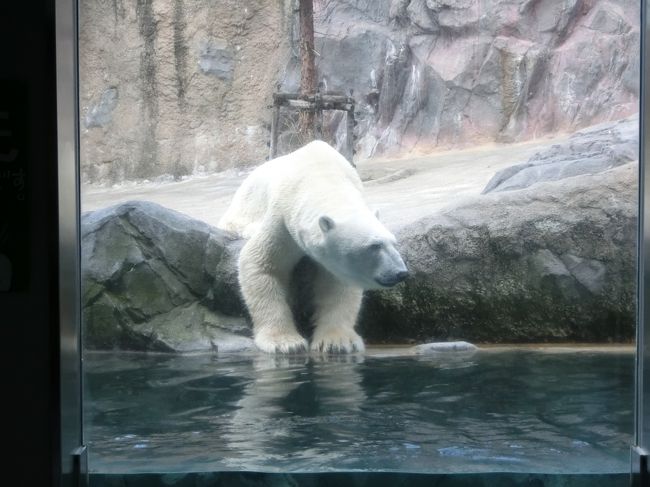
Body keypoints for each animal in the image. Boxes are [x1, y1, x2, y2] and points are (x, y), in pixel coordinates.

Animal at [220, 141, 408, 354]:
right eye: (374, 245)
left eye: (393, 242)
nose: (400, 272)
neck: (321, 176)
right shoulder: (283, 217)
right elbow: (261, 264)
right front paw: (285, 342)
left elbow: (337, 284)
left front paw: (337, 341)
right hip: (246, 201)